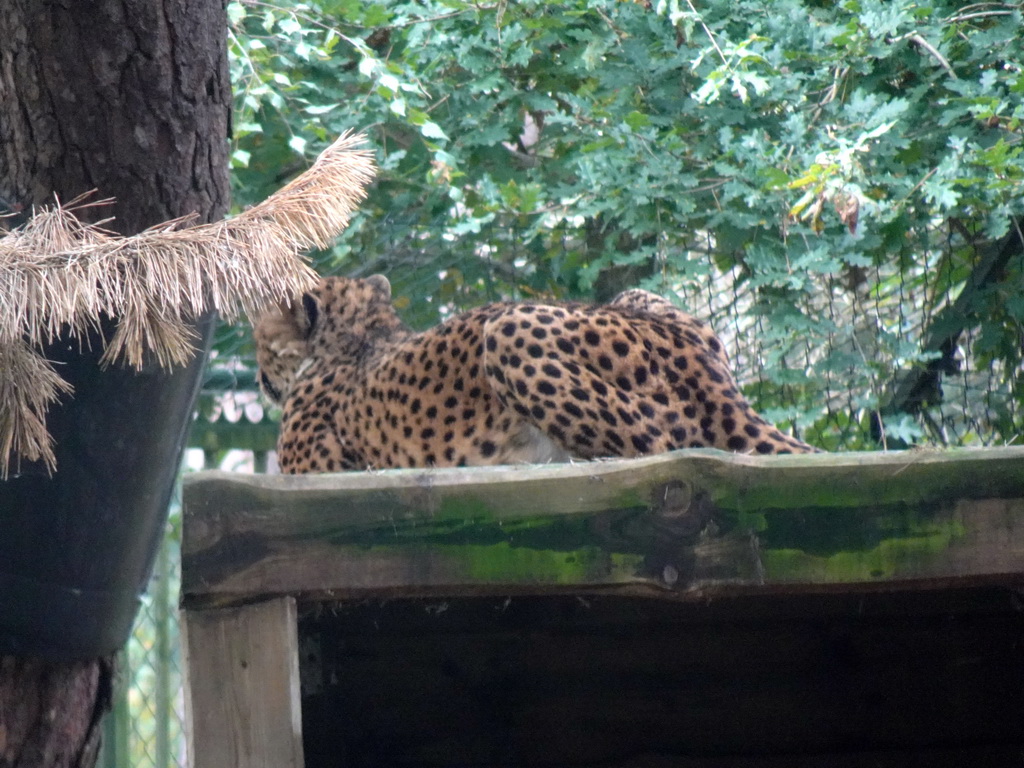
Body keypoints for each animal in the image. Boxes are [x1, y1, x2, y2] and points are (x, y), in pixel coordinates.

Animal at [253, 274, 815, 473]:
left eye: (259, 339)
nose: (259, 381)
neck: (361, 333)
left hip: (506, 329)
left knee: (665, 446)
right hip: (638, 296)